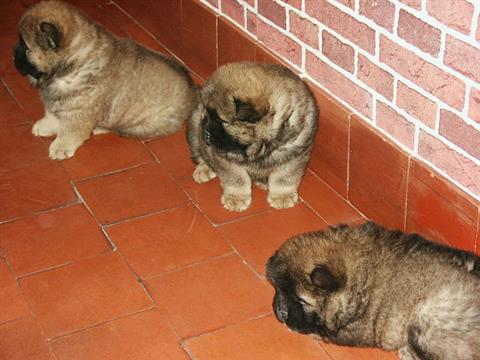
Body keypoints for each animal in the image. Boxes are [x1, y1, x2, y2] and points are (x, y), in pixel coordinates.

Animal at [12, 0, 197, 160]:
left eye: (26, 46)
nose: (12, 52)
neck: (73, 63)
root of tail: (192, 89)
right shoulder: (59, 100)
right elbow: (51, 114)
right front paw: (45, 126)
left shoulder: (79, 111)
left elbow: (69, 130)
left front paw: (60, 147)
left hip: (142, 124)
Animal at [188, 62, 318, 211]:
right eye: (208, 113)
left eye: (221, 120)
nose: (205, 135)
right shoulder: (225, 157)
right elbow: (236, 178)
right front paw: (236, 198)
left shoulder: (295, 155)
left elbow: (284, 177)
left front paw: (282, 196)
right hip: (194, 128)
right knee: (200, 154)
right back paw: (204, 169)